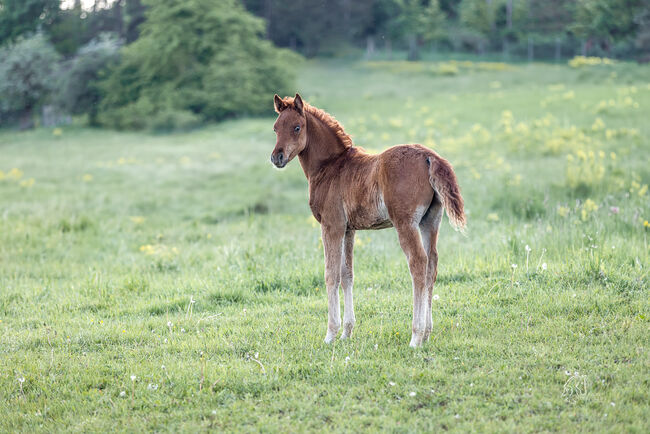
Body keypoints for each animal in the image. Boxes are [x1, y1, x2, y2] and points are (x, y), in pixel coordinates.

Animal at [270, 93, 464, 348]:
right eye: (275, 128)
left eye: (296, 127)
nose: (277, 157)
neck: (330, 167)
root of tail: (429, 157)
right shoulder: (348, 229)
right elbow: (347, 275)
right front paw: (347, 332)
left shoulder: (331, 226)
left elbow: (331, 275)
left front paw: (330, 334)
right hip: (430, 222)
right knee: (432, 264)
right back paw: (427, 334)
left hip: (406, 224)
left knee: (418, 264)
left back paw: (415, 336)